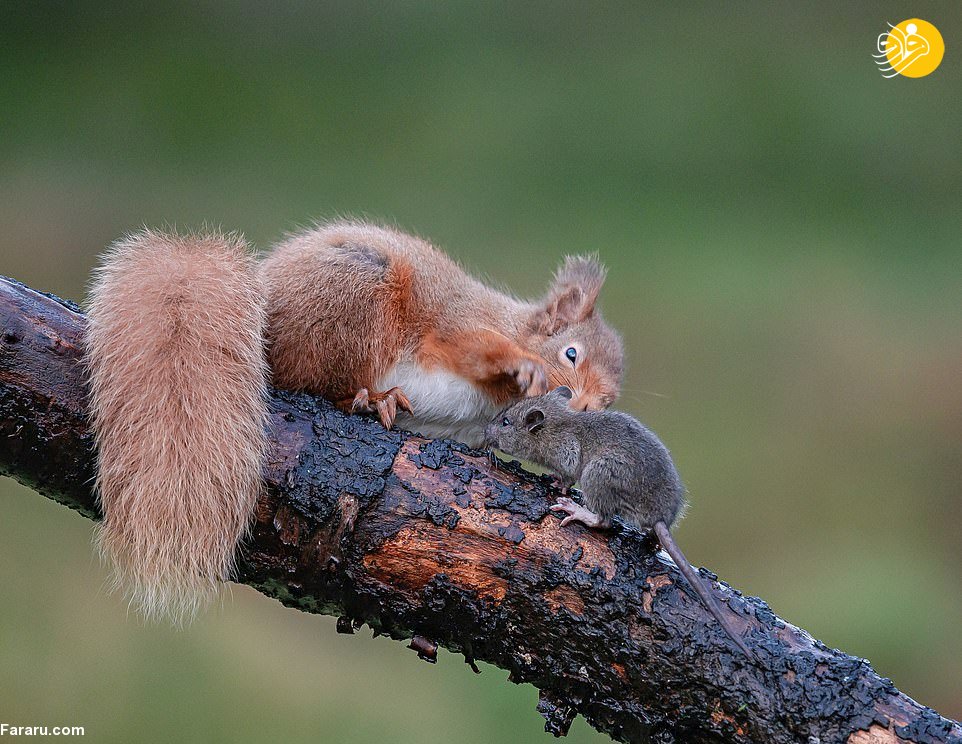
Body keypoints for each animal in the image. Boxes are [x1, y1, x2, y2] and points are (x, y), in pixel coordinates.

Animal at [82, 221, 624, 620]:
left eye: (609, 400)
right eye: (571, 354)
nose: (583, 410)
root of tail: (264, 307)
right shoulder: (457, 327)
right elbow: (477, 347)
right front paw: (524, 365)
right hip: (360, 295)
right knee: (311, 378)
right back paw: (368, 399)